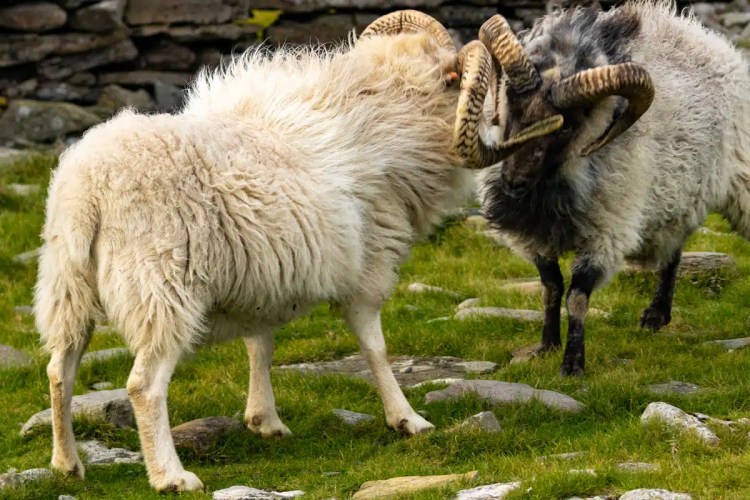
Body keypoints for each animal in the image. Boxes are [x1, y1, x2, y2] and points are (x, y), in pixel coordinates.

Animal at [34, 11, 493, 492]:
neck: (383, 112)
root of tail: (89, 189)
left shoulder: (262, 276)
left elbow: (260, 346)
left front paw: (263, 418)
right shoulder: (368, 267)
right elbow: (376, 349)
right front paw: (406, 419)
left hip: (67, 286)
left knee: (59, 370)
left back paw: (67, 463)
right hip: (160, 289)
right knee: (143, 384)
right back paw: (170, 475)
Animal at [453, 0, 750, 376]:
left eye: (566, 128)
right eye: (511, 104)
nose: (512, 182)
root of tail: (708, 39)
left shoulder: (607, 231)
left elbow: (577, 297)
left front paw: (572, 364)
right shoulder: (533, 236)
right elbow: (550, 288)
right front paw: (546, 346)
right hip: (678, 196)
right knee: (674, 248)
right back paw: (657, 315)